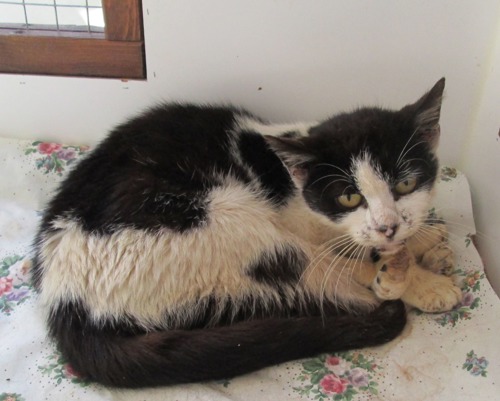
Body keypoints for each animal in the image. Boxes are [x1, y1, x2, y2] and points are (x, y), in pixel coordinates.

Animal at [33, 77, 458, 388]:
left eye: (405, 184)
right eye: (349, 196)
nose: (388, 225)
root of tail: (64, 302)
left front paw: (425, 238)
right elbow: (349, 255)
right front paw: (422, 280)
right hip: (224, 223)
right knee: (325, 283)